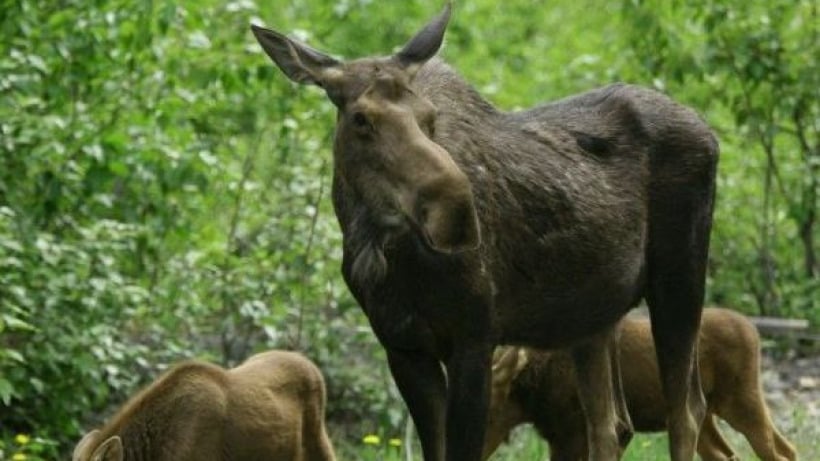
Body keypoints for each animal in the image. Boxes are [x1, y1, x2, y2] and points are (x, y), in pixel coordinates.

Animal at [250, 4, 716, 460]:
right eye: (361, 118)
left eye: (430, 117)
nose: (457, 213)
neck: (387, 256)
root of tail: (711, 134)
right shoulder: (403, 348)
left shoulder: (475, 338)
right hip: (595, 314)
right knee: (612, 424)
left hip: (679, 280)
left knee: (687, 411)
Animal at [486, 308, 796, 460]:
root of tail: (753, 330)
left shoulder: (570, 434)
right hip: (708, 418)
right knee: (729, 455)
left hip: (741, 399)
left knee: (782, 452)